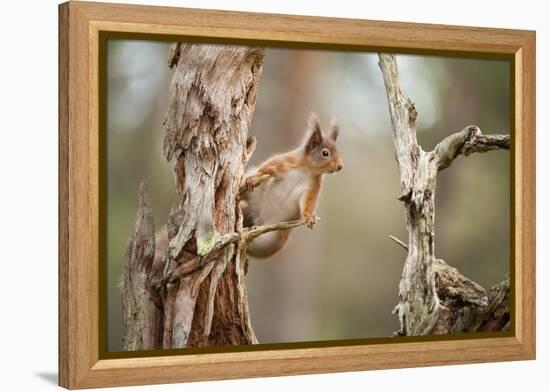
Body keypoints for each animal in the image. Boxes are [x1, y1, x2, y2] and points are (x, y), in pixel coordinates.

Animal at [240, 112, 342, 260]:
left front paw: (309, 217)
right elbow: (266, 168)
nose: (340, 166)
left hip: (272, 242)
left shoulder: (313, 187)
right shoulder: (284, 162)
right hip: (254, 195)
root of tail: (257, 219)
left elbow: (307, 204)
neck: (306, 170)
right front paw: (253, 177)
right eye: (325, 153)